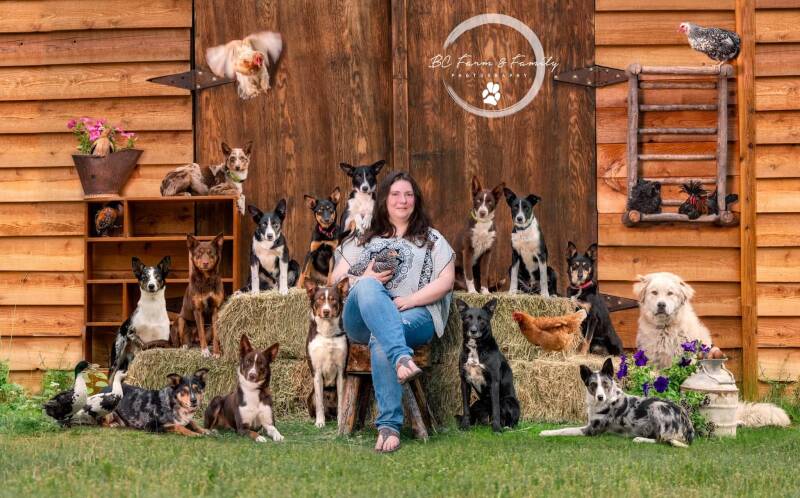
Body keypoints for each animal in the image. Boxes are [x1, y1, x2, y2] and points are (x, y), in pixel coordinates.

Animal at [304, 279, 349, 428]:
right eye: (319, 299)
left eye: (333, 299)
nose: (326, 311)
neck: (327, 333)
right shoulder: (316, 371)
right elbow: (319, 403)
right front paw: (320, 422)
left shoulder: (341, 371)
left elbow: (341, 402)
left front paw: (341, 421)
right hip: (310, 396)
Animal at [456, 298, 520, 432]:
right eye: (468, 318)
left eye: (482, 320)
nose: (473, 331)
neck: (476, 348)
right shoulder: (464, 381)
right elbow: (465, 408)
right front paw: (465, 425)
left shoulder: (494, 382)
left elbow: (495, 408)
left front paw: (496, 428)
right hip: (478, 404)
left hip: (508, 401)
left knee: (507, 419)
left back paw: (504, 426)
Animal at [540, 358, 695, 447]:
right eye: (593, 384)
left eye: (605, 383)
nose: (600, 397)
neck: (604, 402)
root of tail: (689, 428)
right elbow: (566, 425)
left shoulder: (592, 430)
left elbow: (565, 430)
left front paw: (546, 432)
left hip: (656, 406)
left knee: (661, 439)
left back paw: (640, 439)